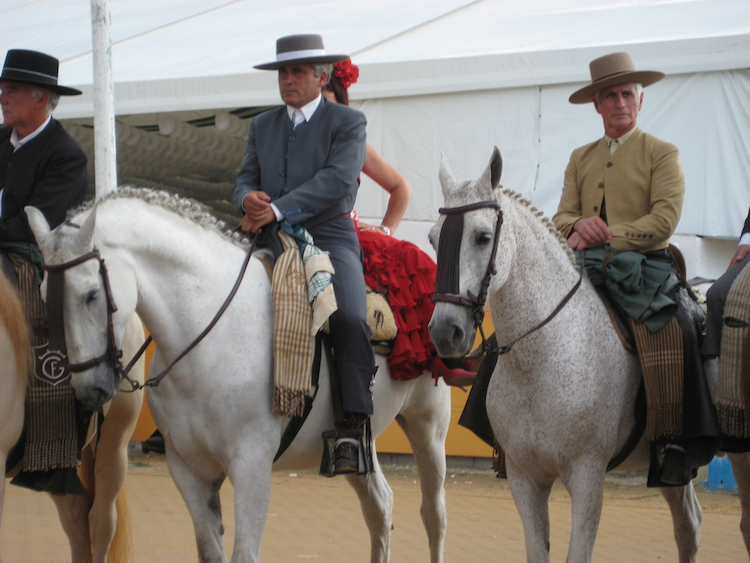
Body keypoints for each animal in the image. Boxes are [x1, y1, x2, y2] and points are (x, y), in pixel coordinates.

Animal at [26, 189, 452, 563]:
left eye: (91, 294)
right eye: (44, 294)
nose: (88, 388)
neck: (210, 337)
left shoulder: (251, 468)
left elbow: (244, 554)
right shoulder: (188, 469)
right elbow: (210, 551)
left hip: (428, 427)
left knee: (434, 515)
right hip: (360, 440)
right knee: (380, 507)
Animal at [432, 147, 750, 563]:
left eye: (483, 237)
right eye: (432, 238)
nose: (444, 331)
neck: (544, 359)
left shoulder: (587, 477)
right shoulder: (525, 478)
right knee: (689, 525)